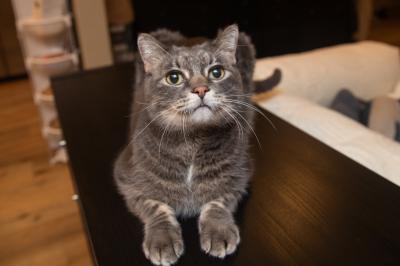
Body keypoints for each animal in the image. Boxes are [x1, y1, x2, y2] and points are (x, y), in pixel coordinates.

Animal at [114, 23, 266, 264]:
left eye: (216, 72)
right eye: (173, 77)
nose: (201, 89)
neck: (193, 142)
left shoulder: (241, 174)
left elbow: (219, 200)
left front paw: (218, 231)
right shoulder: (126, 177)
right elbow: (154, 205)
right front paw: (162, 240)